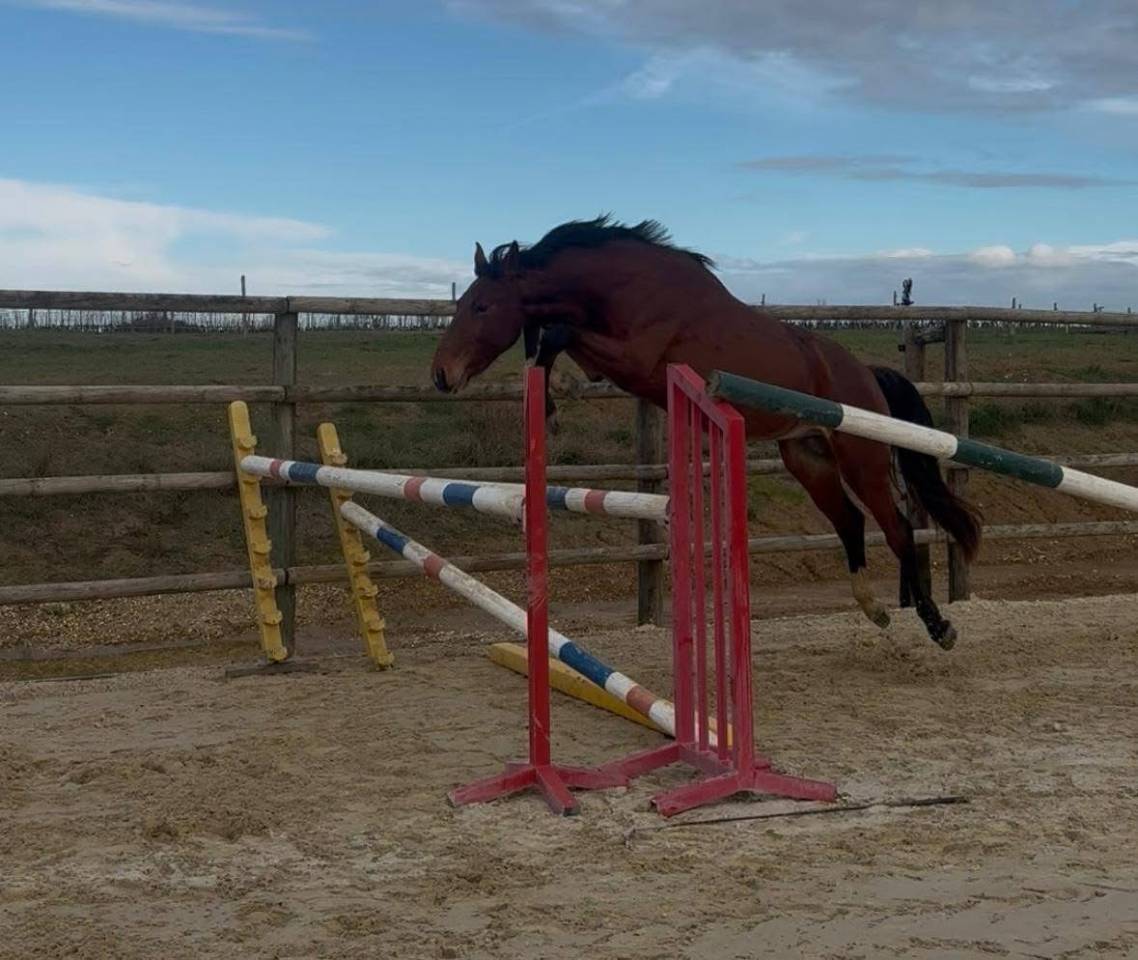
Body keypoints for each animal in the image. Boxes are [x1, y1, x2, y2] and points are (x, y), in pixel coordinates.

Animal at [431, 216, 981, 649]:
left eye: (482, 306)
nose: (441, 375)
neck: (622, 285)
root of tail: (865, 374)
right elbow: (554, 340)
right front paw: (544, 397)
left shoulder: (635, 360)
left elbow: (562, 332)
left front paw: (548, 394)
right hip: (807, 458)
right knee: (850, 521)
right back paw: (873, 607)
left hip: (860, 458)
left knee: (897, 529)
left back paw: (938, 625)